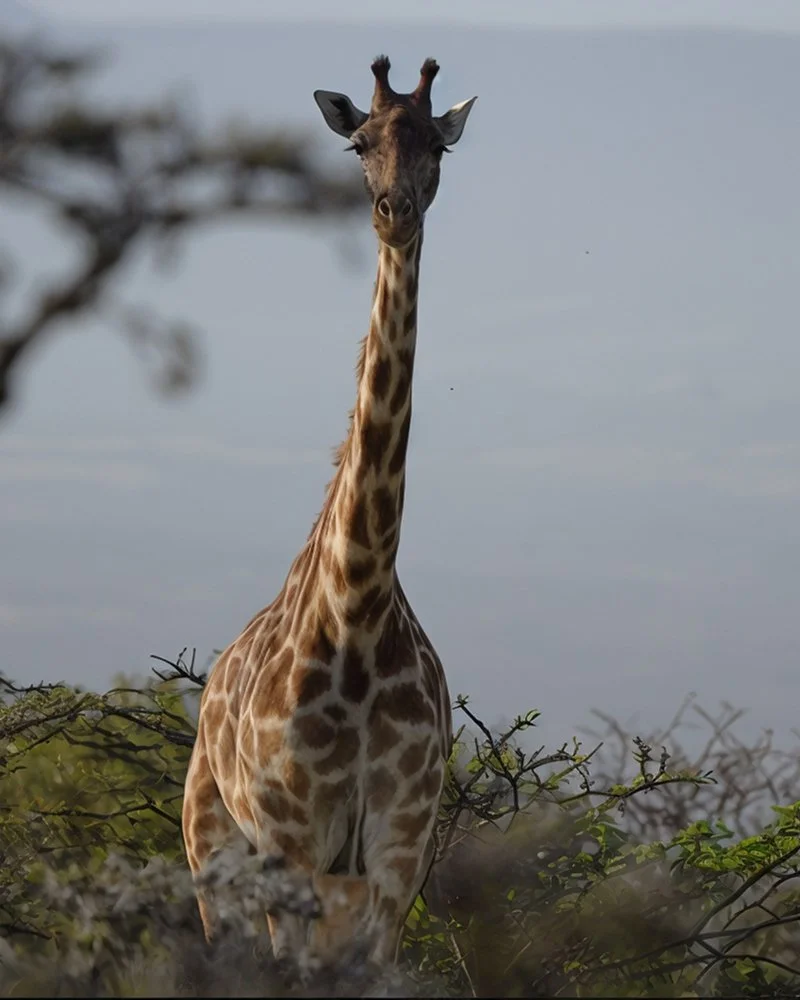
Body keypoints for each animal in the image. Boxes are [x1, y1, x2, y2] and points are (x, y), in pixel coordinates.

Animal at [181, 55, 477, 969]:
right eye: (359, 144)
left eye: (437, 147)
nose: (394, 212)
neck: (358, 607)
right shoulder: (291, 839)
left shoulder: (397, 850)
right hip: (212, 844)